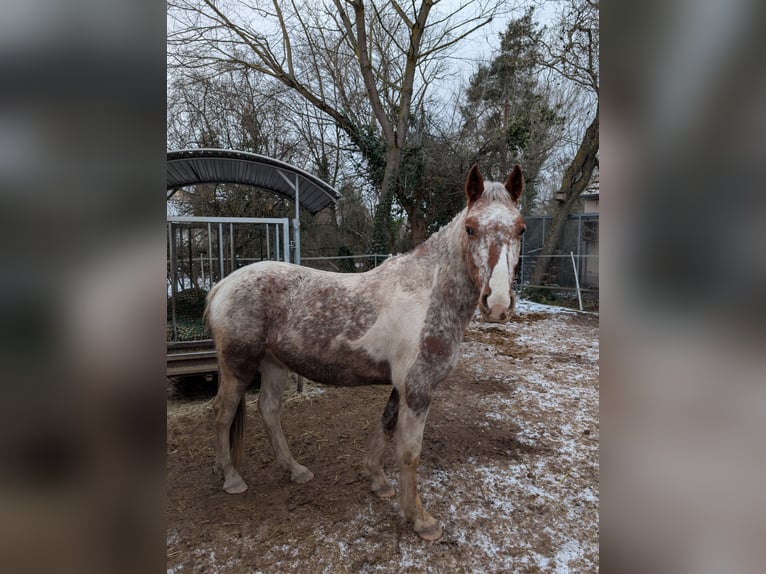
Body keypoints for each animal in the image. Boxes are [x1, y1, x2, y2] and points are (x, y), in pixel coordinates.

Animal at [205, 164, 526, 541]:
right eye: (471, 228)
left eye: (520, 228)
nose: (498, 304)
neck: (426, 295)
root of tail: (222, 285)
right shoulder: (417, 388)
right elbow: (410, 452)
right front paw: (419, 518)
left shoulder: (403, 385)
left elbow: (385, 425)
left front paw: (378, 480)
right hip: (238, 365)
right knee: (223, 412)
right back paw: (231, 477)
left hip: (273, 365)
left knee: (268, 410)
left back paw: (295, 470)